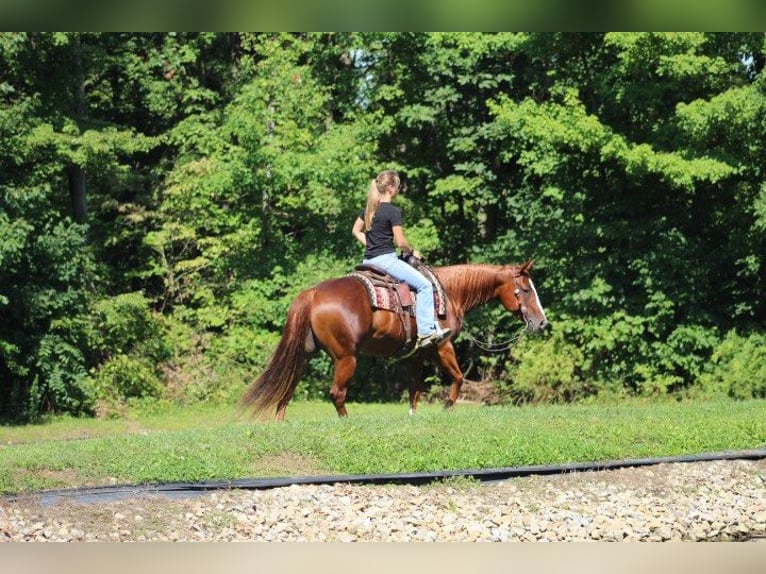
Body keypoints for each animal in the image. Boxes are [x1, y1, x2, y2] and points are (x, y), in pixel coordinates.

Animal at [243, 260, 548, 418]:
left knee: (287, 387)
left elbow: (414, 390)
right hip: (346, 357)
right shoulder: (442, 345)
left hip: (305, 353)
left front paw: (413, 417)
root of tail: (313, 292)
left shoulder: (414, 355)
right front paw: (447, 406)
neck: (449, 293)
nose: (542, 322)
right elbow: (459, 376)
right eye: (525, 289)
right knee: (337, 393)